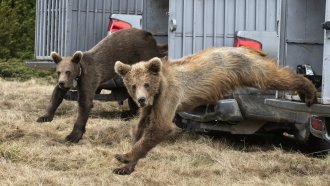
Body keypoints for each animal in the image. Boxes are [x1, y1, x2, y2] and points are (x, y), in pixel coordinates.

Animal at [36, 28, 168, 143]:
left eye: (68, 71)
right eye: (58, 71)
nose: (61, 82)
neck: (78, 74)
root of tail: (150, 36)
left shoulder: (88, 78)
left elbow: (84, 103)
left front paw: (73, 135)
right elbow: (56, 95)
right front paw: (44, 117)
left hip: (144, 55)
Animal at [113, 46, 318, 174]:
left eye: (146, 84)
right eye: (133, 85)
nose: (140, 100)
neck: (157, 90)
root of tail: (248, 49)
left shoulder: (169, 95)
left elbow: (160, 127)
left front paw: (123, 156)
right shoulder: (152, 106)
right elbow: (141, 127)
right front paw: (125, 166)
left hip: (248, 69)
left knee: (274, 76)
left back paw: (308, 92)